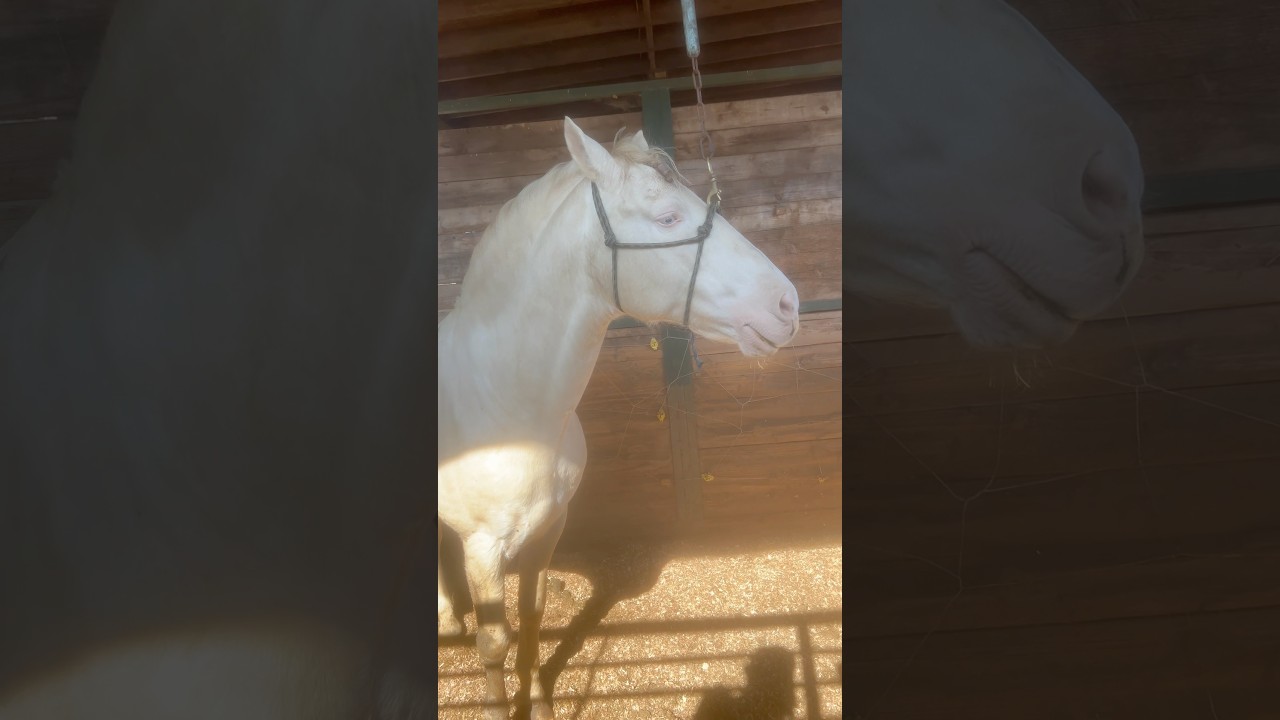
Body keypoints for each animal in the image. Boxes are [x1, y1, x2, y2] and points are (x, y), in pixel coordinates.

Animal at [436, 119, 801, 720]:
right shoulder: (485, 551)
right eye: (668, 218)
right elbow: (495, 644)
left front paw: (540, 705)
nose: (787, 305)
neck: (511, 405)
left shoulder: (548, 530)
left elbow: (533, 623)